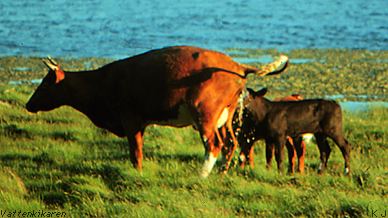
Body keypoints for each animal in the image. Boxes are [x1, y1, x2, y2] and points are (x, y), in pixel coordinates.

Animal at [25, 45, 288, 177]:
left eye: (45, 84)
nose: (29, 104)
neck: (105, 81)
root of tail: (237, 65)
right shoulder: (138, 122)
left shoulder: (130, 119)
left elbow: (136, 152)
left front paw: (137, 174)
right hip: (223, 117)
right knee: (230, 143)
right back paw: (221, 174)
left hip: (204, 115)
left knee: (214, 145)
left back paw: (201, 176)